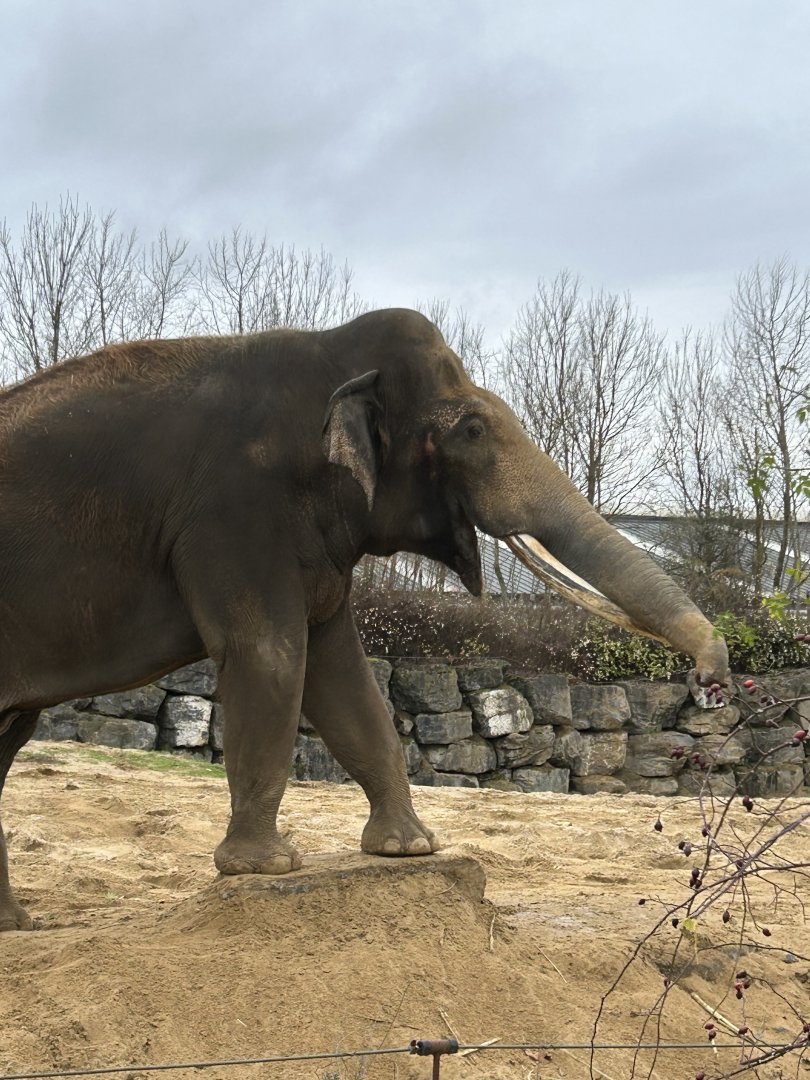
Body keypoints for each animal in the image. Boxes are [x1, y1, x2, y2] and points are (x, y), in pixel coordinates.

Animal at [0, 308, 729, 931]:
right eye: (471, 431)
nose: (711, 684)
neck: (329, 353)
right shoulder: (233, 513)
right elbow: (272, 653)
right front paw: (265, 867)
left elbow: (340, 672)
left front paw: (410, 849)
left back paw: (17, 927)